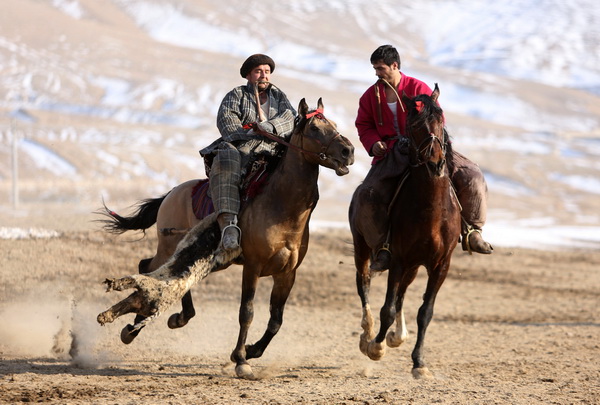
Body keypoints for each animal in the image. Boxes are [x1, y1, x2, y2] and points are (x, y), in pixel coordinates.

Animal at [97, 98, 352, 378]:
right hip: (171, 248)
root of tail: (172, 193)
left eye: (334, 124)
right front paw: (241, 359)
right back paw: (138, 326)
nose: (348, 150)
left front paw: (251, 351)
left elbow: (276, 320)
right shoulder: (252, 267)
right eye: (315, 128)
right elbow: (247, 313)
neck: (282, 206)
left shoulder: (287, 273)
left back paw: (168, 319)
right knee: (148, 269)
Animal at [346, 85, 460, 378]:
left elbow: (425, 312)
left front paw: (419, 362)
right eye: (414, 124)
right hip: (363, 248)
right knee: (364, 283)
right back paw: (368, 334)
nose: (436, 164)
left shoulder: (440, 265)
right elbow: (386, 308)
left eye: (440, 117)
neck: (431, 210)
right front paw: (375, 347)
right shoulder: (397, 259)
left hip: (414, 266)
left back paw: (397, 335)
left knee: (402, 294)